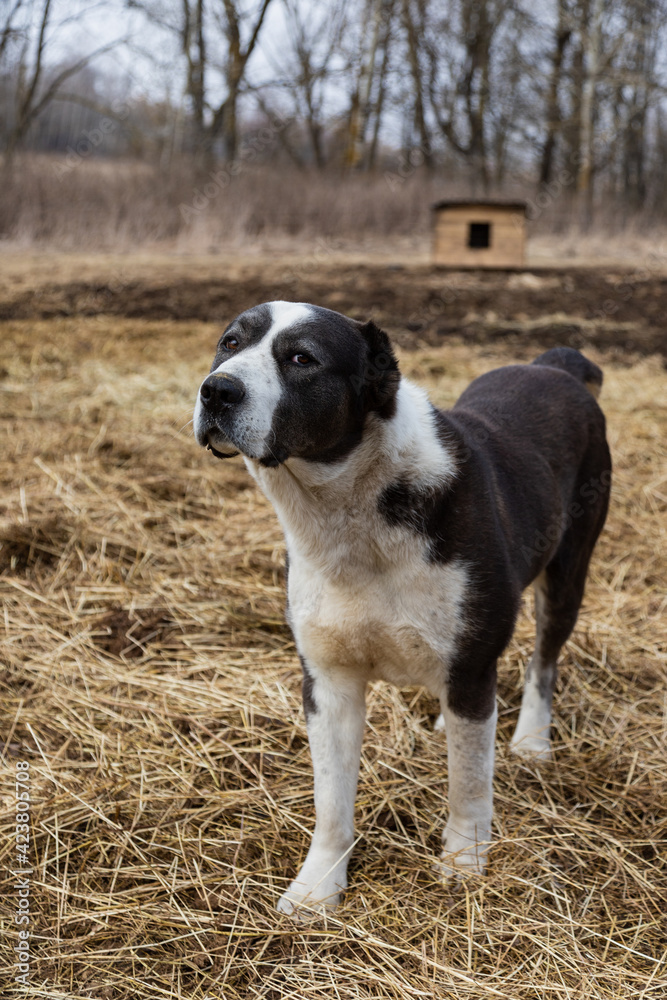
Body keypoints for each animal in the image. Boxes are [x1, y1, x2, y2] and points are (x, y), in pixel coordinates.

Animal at [192, 300, 612, 916]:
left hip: (566, 574)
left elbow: (469, 782)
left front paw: (464, 861)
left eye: (302, 359)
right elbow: (331, 800)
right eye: (228, 343)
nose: (216, 390)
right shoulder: (328, 682)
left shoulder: (470, 666)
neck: (350, 507)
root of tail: (553, 367)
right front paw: (318, 887)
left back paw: (532, 740)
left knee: (542, 660)